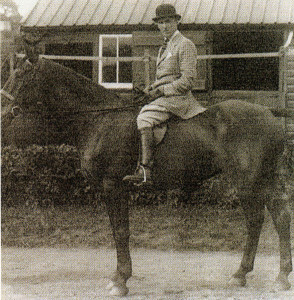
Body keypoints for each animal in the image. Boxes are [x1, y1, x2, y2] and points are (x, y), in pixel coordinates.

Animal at [1, 56, 292, 296]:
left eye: (21, 77)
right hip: (260, 181)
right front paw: (120, 276)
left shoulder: (113, 185)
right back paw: (246, 274)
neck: (100, 120)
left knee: (270, 218)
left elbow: (121, 231)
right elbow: (117, 230)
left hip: (251, 182)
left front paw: (120, 280)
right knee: (263, 220)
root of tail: (269, 114)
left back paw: (275, 277)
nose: (3, 113)